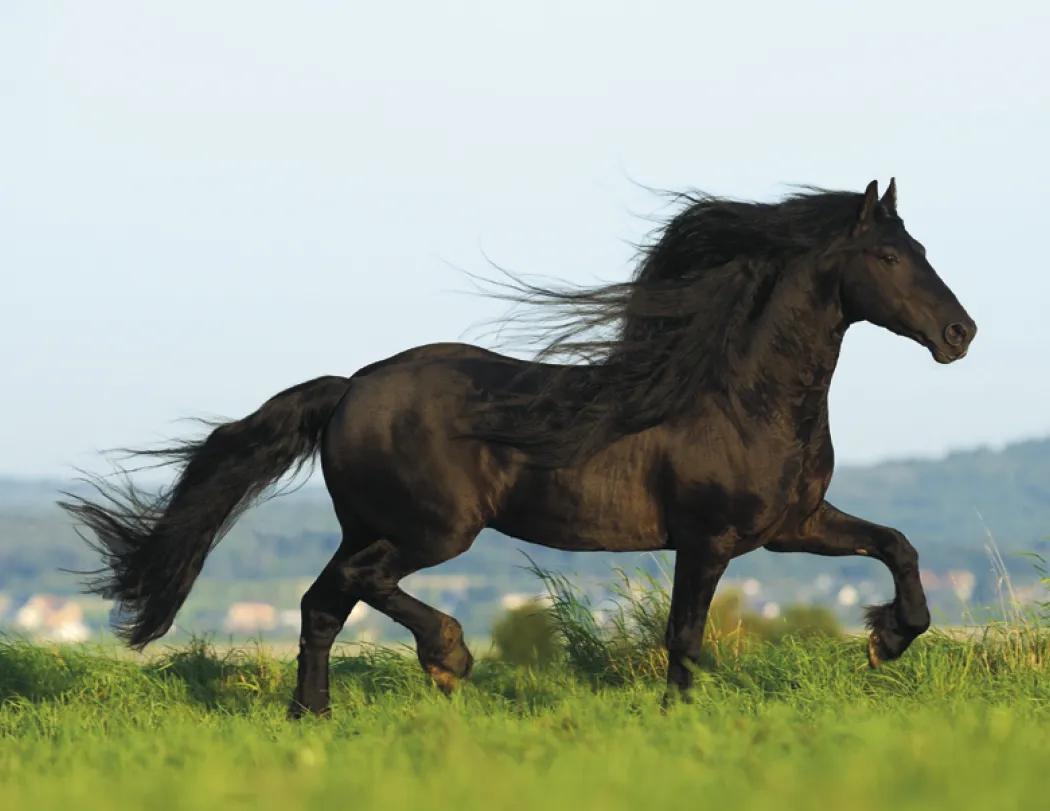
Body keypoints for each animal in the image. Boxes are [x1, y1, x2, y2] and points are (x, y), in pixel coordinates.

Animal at [61, 178, 976, 716]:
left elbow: (898, 545)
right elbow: (684, 636)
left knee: (324, 601)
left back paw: (313, 714)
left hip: (373, 525)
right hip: (434, 531)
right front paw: (682, 720)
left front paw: (887, 637)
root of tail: (350, 387)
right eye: (888, 254)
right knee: (358, 588)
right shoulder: (708, 538)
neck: (737, 396)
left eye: (923, 250)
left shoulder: (792, 524)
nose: (960, 334)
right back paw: (447, 657)